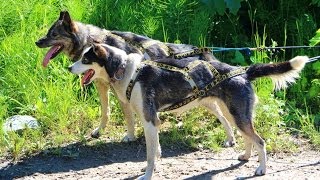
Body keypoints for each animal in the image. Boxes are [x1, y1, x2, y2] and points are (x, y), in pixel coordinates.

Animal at [69, 43, 308, 179]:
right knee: (248, 138)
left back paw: (261, 170)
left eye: (85, 59)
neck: (126, 70)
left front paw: (147, 175)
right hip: (234, 115)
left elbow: (149, 156)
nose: (69, 67)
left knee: (260, 141)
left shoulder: (149, 120)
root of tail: (243, 71)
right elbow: (156, 151)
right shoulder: (152, 121)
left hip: (238, 116)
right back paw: (246, 157)